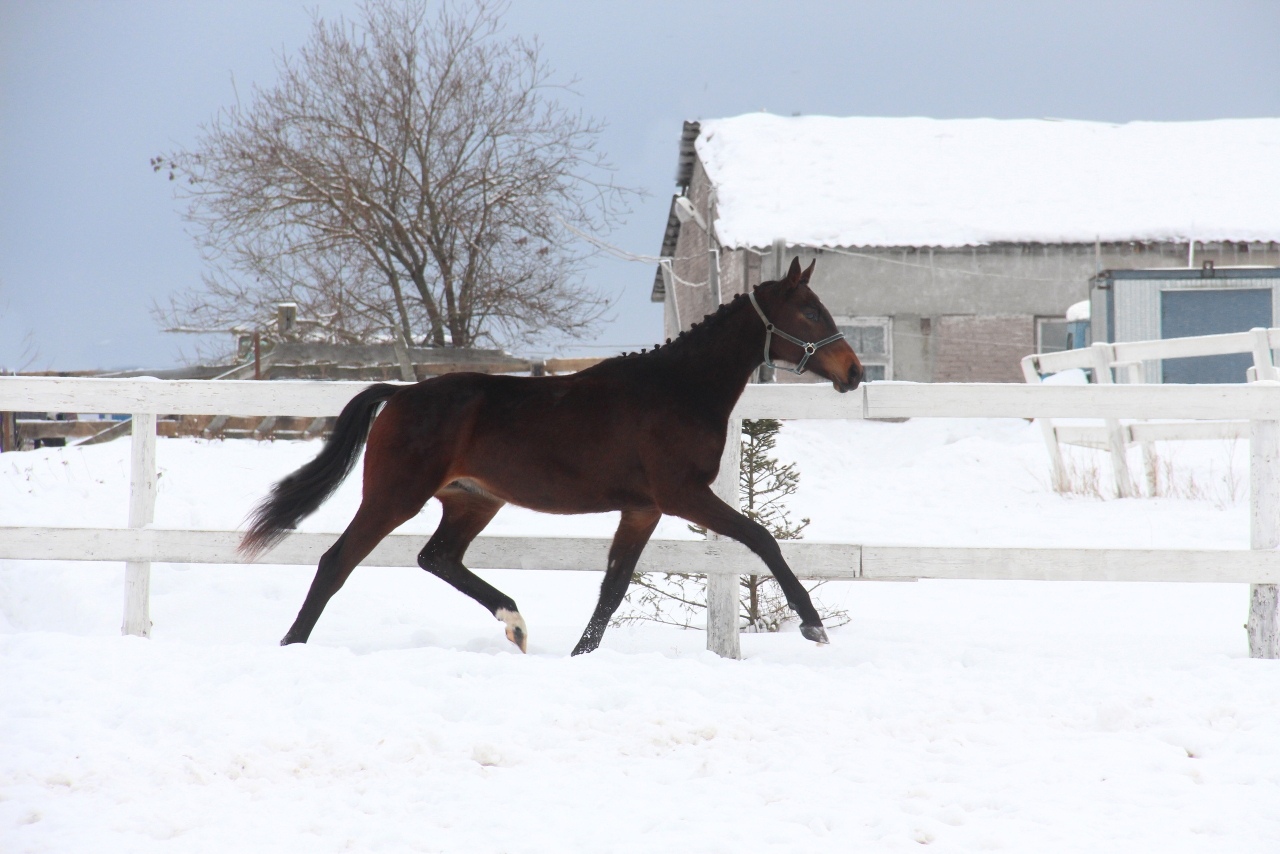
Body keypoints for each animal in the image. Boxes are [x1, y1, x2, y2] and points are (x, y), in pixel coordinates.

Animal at [240, 257, 860, 650]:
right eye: (810, 313)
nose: (853, 373)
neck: (678, 389)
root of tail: (398, 393)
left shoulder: (643, 509)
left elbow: (612, 589)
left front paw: (580, 656)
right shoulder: (683, 495)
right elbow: (762, 538)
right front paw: (814, 627)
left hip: (472, 501)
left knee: (437, 557)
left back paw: (515, 623)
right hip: (396, 496)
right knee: (336, 561)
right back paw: (293, 644)